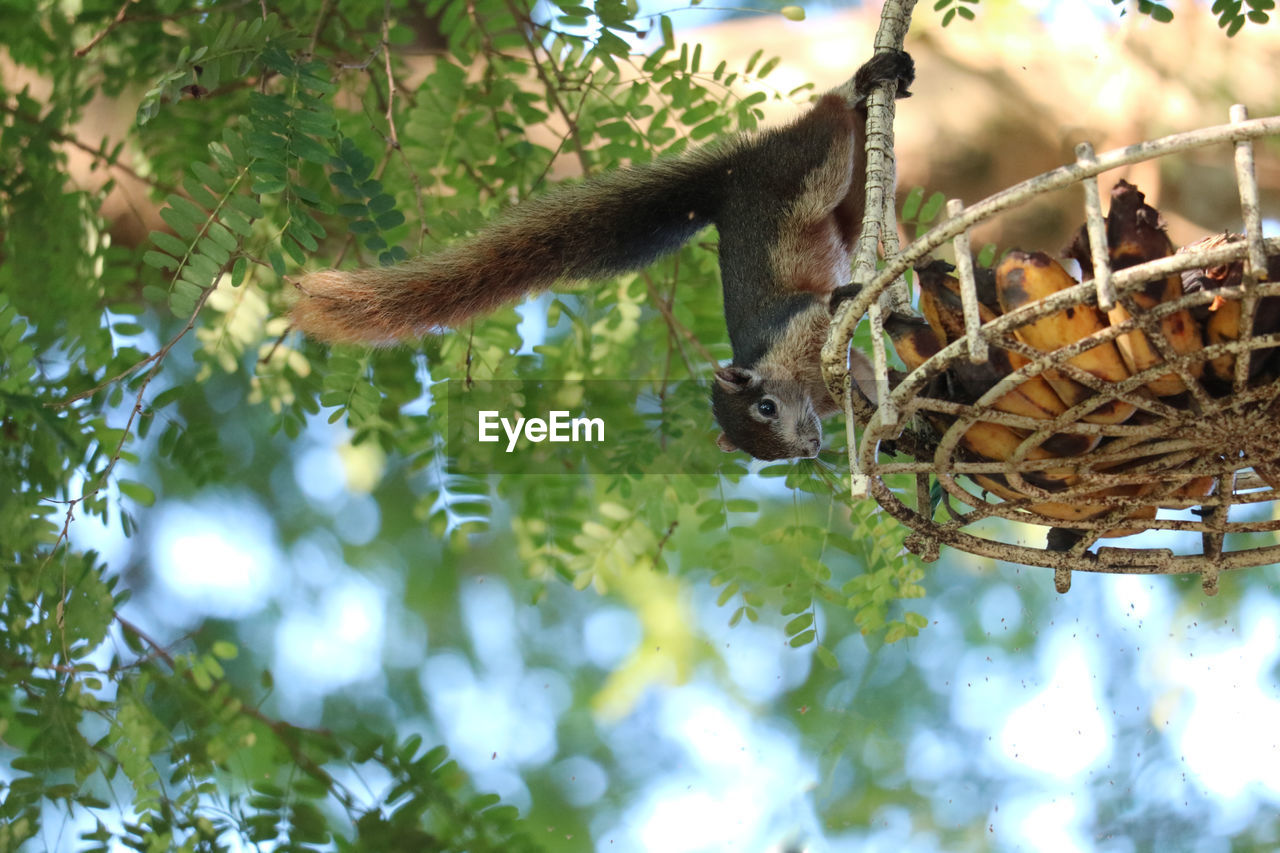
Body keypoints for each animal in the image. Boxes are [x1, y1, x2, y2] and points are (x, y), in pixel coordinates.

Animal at [293, 48, 911, 458]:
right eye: (762, 443)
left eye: (765, 407)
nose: (808, 449)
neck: (793, 376)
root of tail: (730, 177)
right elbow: (863, 373)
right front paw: (897, 414)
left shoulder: (797, 330)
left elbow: (822, 316)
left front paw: (849, 302)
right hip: (837, 199)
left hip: (799, 173)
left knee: (827, 126)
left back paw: (863, 84)